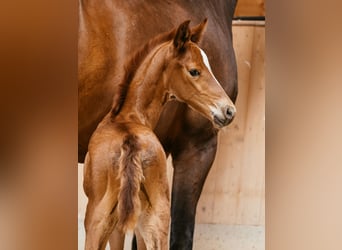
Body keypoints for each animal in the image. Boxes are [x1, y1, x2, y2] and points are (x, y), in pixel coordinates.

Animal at [79, 0, 238, 249]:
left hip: (101, 219)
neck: (127, 117)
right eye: (195, 70)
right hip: (153, 218)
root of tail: (131, 146)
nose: (228, 110)